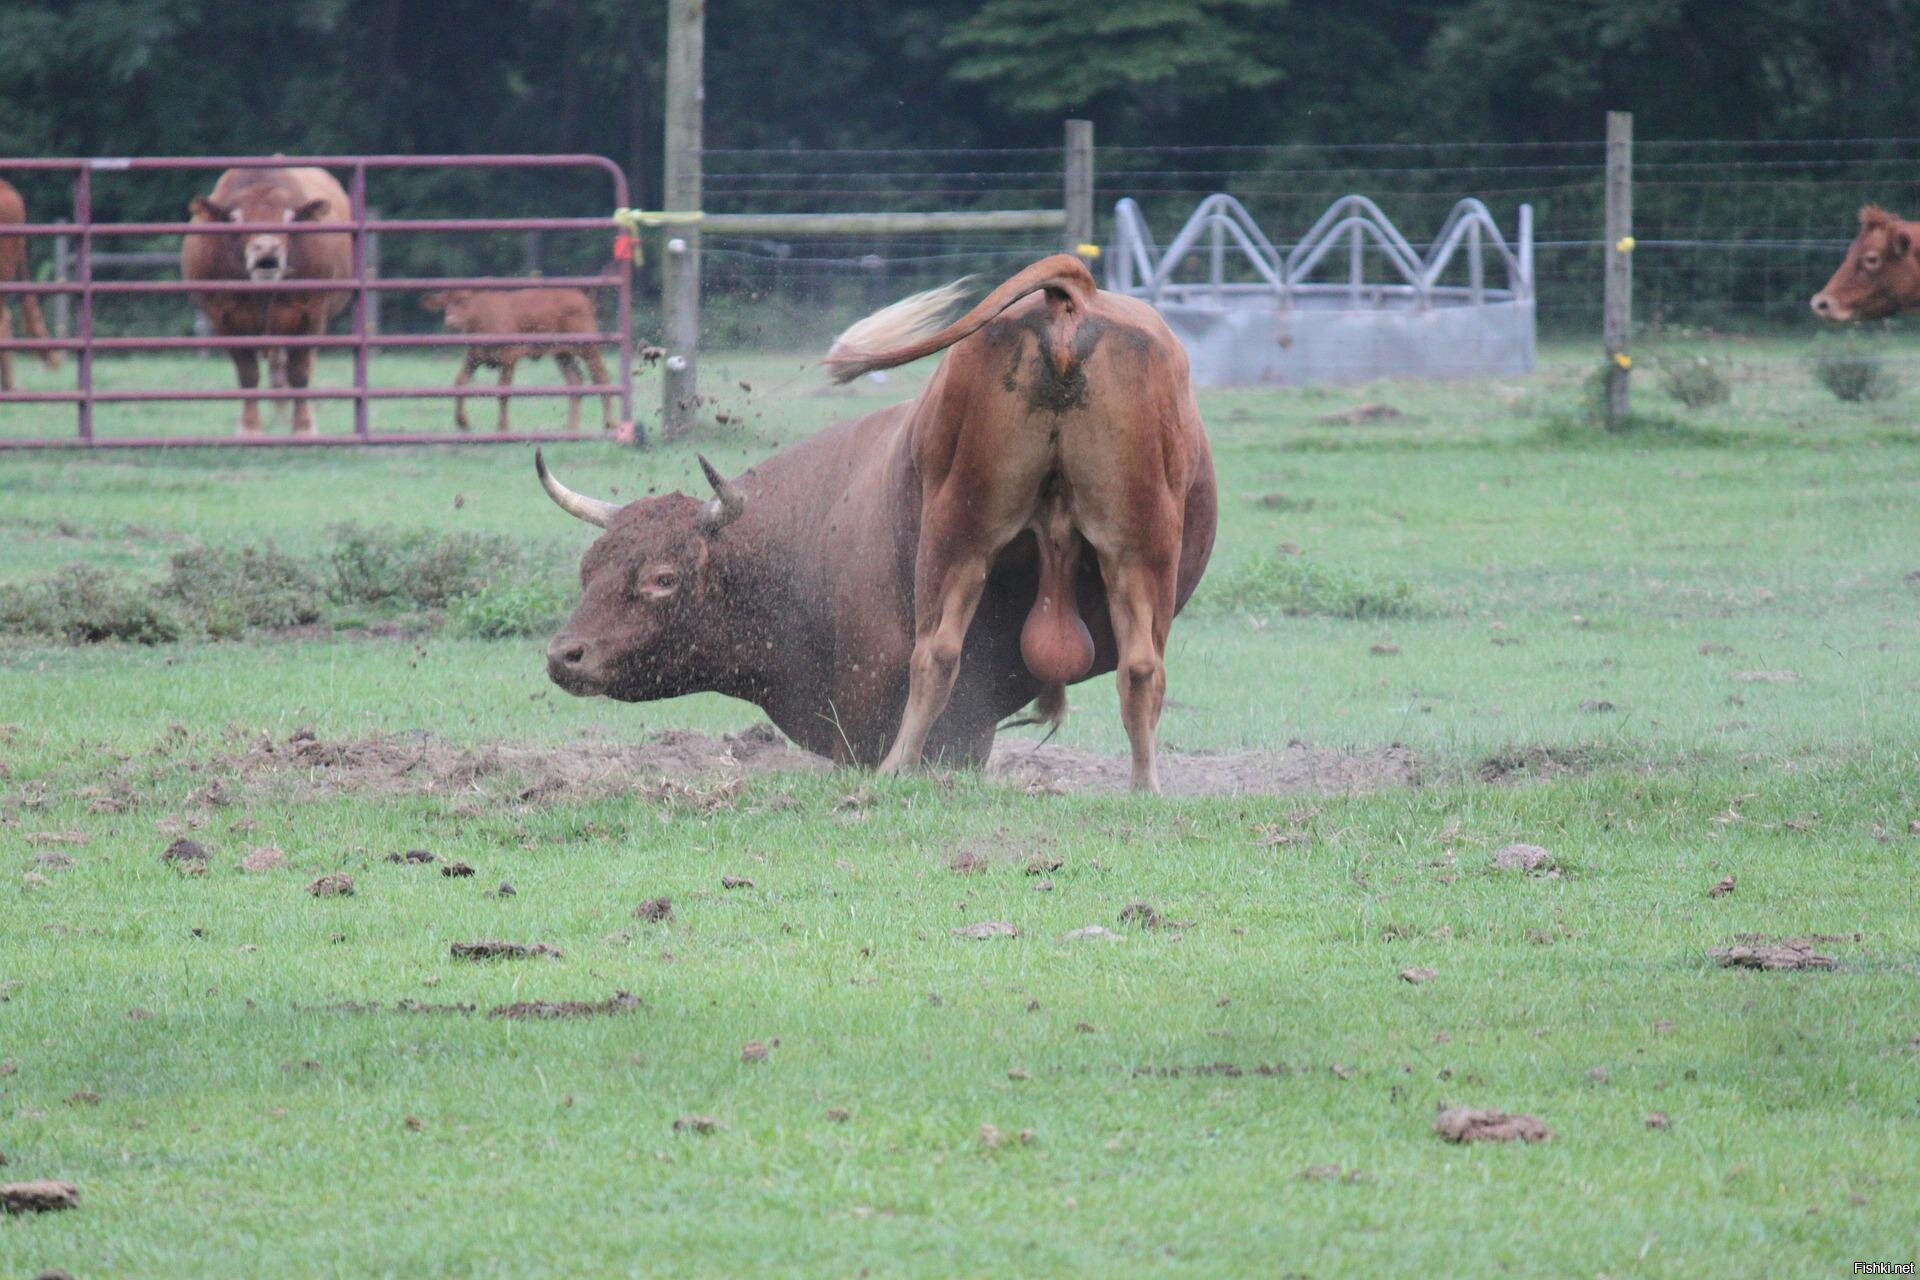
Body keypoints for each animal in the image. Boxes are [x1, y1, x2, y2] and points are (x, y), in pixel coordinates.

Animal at [180, 167, 353, 437]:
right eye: (235, 218)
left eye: (289, 217)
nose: (267, 246)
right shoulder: (224, 320)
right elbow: (248, 373)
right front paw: (250, 428)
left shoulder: (311, 315)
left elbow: (300, 372)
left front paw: (304, 428)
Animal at [420, 287, 614, 433]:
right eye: (444, 304)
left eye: (463, 301)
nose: (450, 321)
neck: (482, 318)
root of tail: (581, 298)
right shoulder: (473, 357)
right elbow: (460, 383)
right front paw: (462, 422)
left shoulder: (509, 358)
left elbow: (503, 391)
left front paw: (502, 427)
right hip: (562, 355)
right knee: (575, 381)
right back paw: (571, 427)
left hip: (588, 349)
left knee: (601, 377)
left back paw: (608, 423)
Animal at [529, 257, 1213, 794]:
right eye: (589, 570)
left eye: (663, 579)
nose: (565, 655)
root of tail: (1070, 303)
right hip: (1121, 548)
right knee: (1134, 666)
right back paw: (1141, 787)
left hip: (966, 541)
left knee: (943, 654)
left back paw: (897, 773)